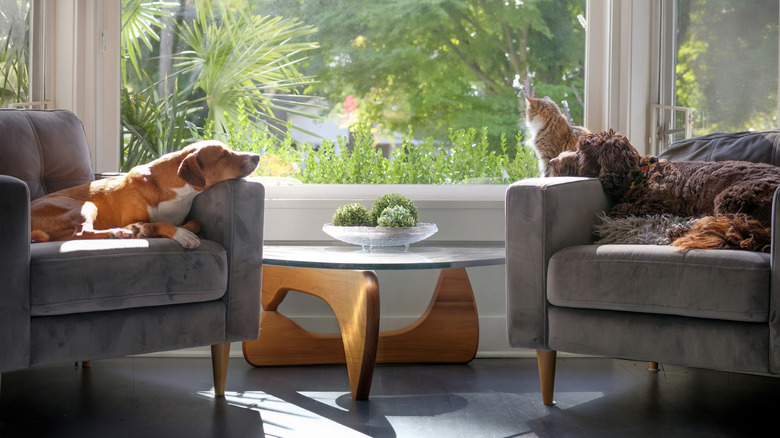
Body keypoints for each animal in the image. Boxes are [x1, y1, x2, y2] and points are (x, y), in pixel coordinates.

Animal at [30, 141, 258, 248]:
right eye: (223, 156)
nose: (256, 156)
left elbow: (195, 222)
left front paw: (150, 229)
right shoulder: (130, 216)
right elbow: (162, 223)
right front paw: (178, 234)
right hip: (85, 205)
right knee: (81, 233)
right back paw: (120, 232)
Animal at [548, 130, 780, 252]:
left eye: (580, 152)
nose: (551, 162)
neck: (639, 175)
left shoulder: (657, 203)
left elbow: (619, 209)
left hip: (731, 196)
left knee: (734, 228)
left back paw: (680, 231)